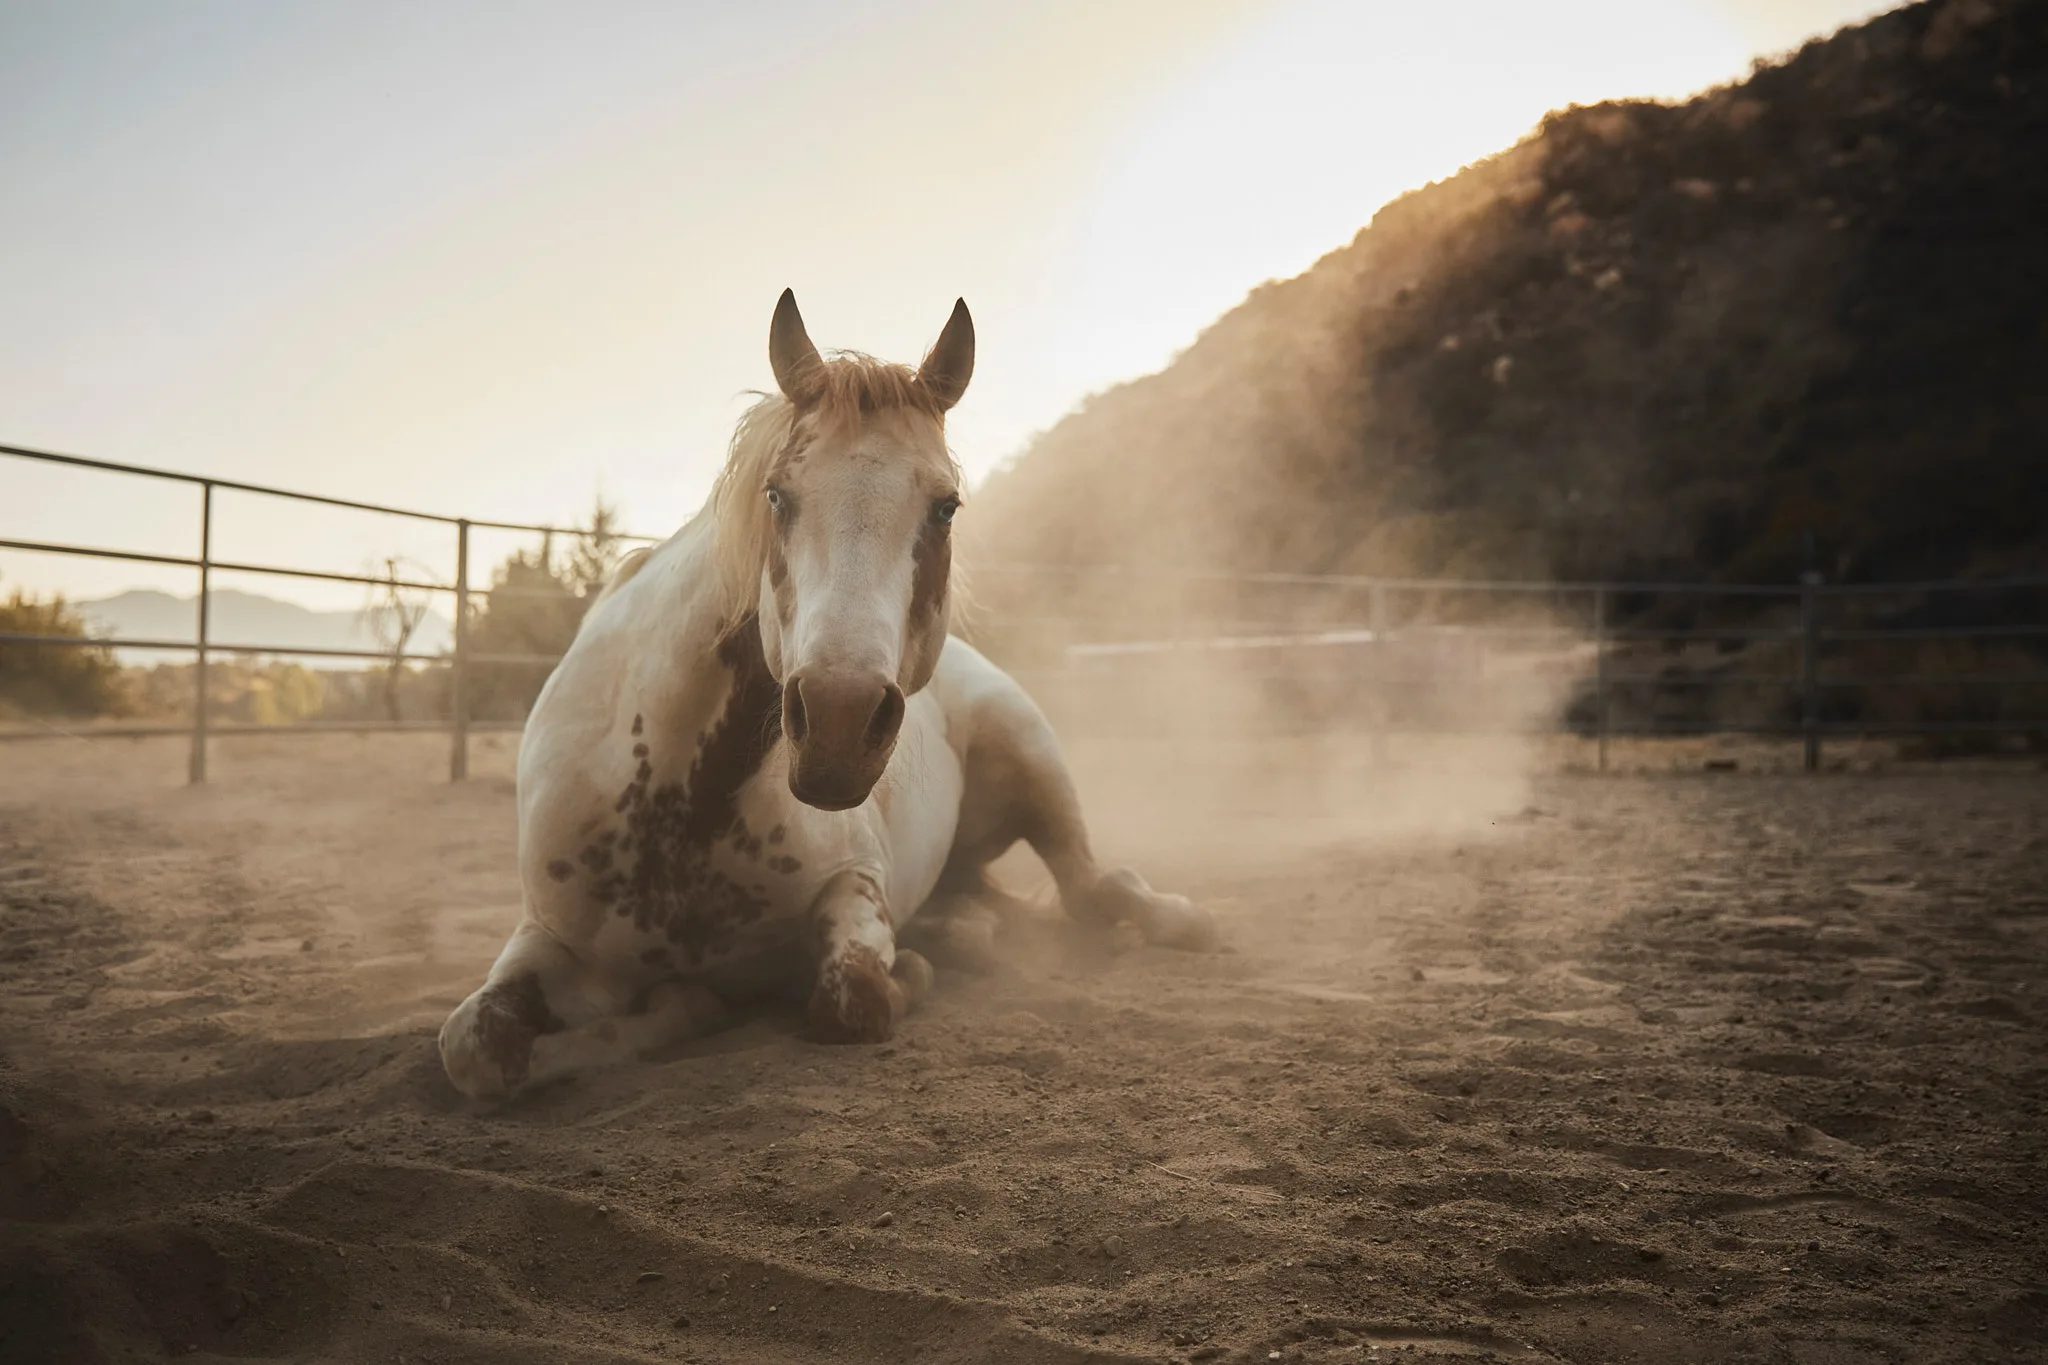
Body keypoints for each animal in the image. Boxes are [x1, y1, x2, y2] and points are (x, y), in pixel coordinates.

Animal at [439, 291, 1215, 1100]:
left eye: (947, 506)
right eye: (777, 494)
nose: (840, 721)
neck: (677, 803)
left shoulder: (855, 884)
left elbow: (854, 997)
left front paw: (901, 972)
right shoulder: (546, 936)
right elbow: (476, 1045)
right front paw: (683, 1002)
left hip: (1035, 758)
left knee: (1095, 886)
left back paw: (1178, 921)